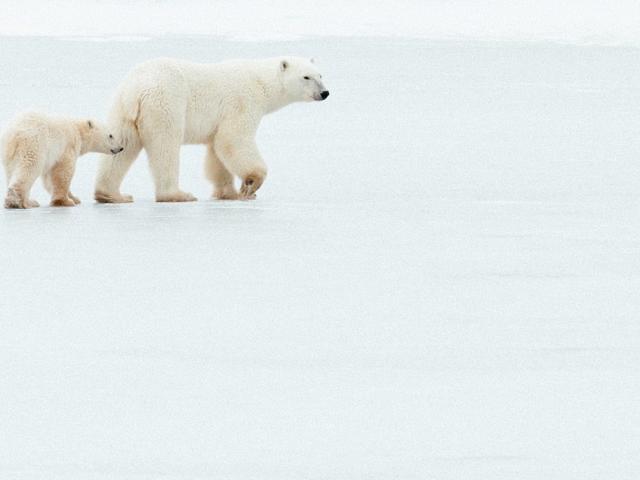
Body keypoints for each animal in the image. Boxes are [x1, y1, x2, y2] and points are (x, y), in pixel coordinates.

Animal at [94, 56, 329, 203]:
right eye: (306, 77)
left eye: (320, 75)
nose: (325, 93)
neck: (260, 82)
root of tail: (138, 87)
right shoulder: (242, 103)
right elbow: (234, 139)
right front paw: (251, 184)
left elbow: (217, 152)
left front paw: (229, 193)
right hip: (166, 102)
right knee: (166, 147)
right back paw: (177, 194)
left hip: (122, 108)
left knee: (121, 145)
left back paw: (111, 194)